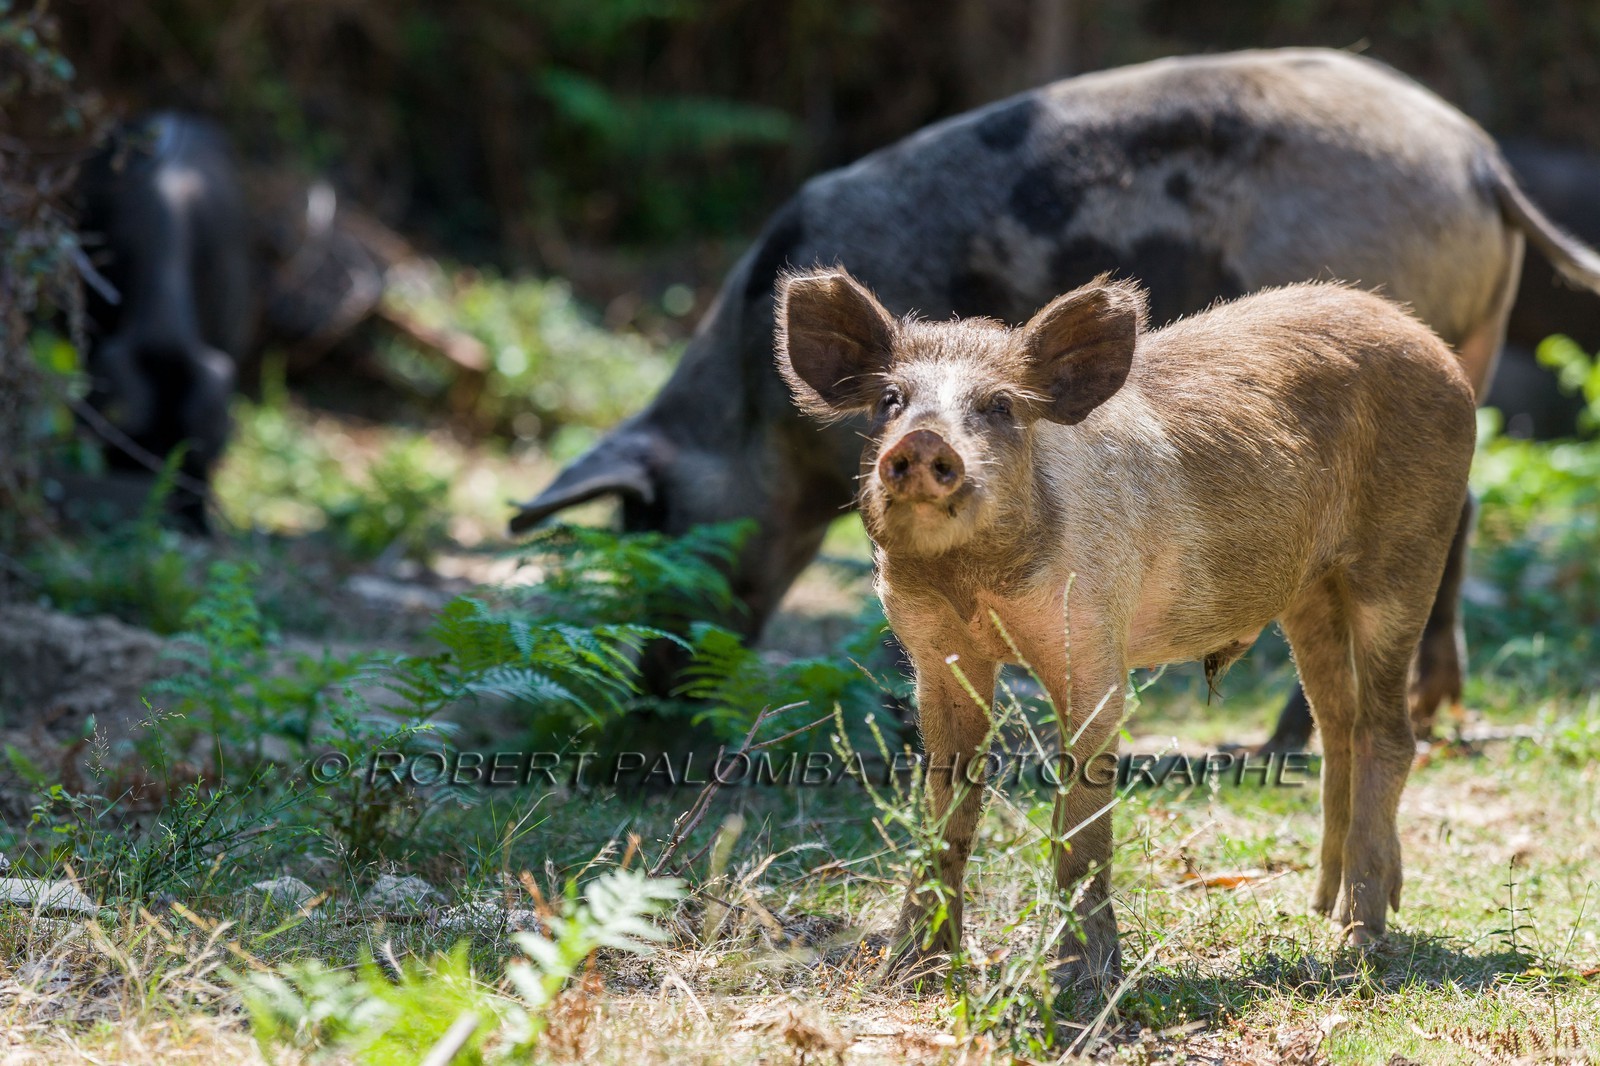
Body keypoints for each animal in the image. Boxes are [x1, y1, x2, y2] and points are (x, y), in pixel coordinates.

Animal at [511, 48, 1600, 749]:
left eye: (656, 526)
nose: (648, 713)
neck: (751, 418)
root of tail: (1479, 158)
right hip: (1465, 346)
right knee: (1460, 506)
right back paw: (1426, 713)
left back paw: (1283, 746)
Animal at [775, 269, 1477, 985]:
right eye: (892, 399)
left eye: (1000, 406)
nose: (922, 441)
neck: (973, 587)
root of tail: (1427, 340)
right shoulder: (934, 649)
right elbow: (945, 803)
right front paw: (908, 970)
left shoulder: (1092, 642)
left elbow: (1083, 816)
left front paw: (1077, 978)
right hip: (1309, 592)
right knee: (1337, 725)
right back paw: (1321, 910)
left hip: (1406, 554)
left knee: (1388, 733)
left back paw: (1358, 941)